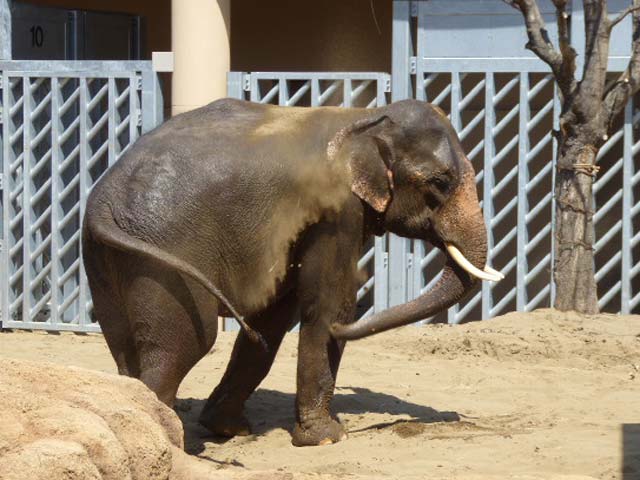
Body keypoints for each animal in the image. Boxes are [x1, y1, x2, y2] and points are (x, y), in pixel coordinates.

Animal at [81, 96, 500, 446]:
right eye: (440, 182)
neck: (362, 118)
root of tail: (103, 204)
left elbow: (273, 317)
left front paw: (229, 430)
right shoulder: (337, 211)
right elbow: (326, 304)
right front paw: (328, 438)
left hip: (104, 260)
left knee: (126, 346)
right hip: (165, 256)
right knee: (184, 344)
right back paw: (169, 440)